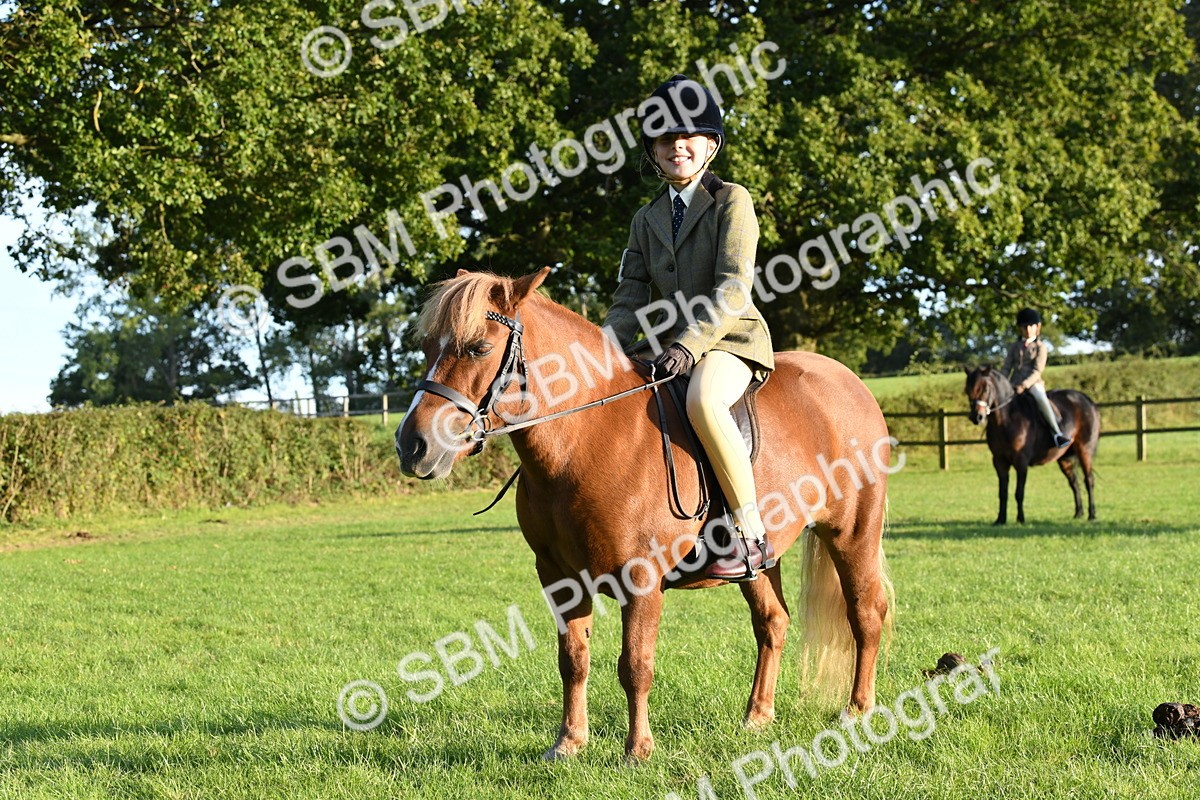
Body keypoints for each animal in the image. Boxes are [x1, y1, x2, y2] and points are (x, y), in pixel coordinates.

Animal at [396, 267, 894, 763]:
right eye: (428, 346)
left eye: (479, 347)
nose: (412, 445)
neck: (582, 440)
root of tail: (847, 381)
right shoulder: (558, 576)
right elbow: (573, 659)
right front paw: (569, 742)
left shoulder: (640, 579)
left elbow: (635, 664)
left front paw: (637, 750)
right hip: (761, 558)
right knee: (772, 622)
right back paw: (757, 716)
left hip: (852, 534)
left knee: (865, 613)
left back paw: (857, 712)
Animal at [964, 366, 1100, 524]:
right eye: (967, 389)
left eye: (985, 388)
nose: (976, 417)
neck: (1006, 420)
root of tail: (1086, 399)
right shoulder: (999, 462)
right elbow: (1002, 493)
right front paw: (1000, 519)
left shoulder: (1021, 462)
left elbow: (1019, 492)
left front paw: (1021, 519)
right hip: (1064, 458)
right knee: (1074, 482)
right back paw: (1078, 513)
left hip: (1085, 450)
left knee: (1089, 480)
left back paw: (1092, 515)